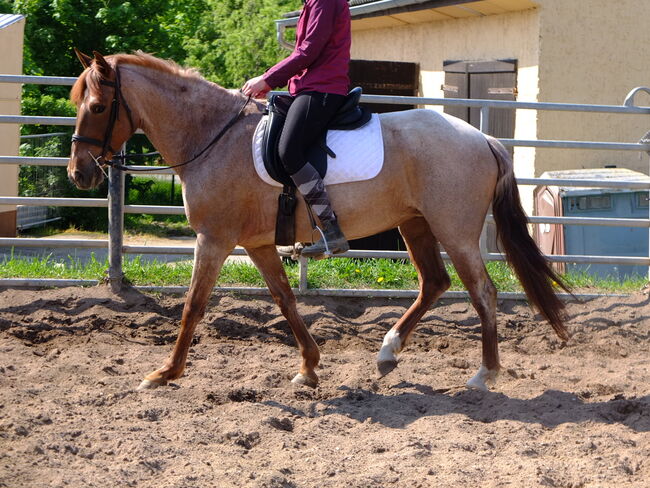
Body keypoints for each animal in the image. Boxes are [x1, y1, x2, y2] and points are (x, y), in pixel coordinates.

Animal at [68, 49, 568, 392]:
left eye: (97, 107)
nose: (79, 173)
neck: (211, 136)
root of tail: (482, 138)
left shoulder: (213, 239)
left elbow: (193, 305)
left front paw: (165, 373)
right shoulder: (257, 244)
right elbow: (285, 299)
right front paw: (308, 367)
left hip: (456, 231)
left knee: (482, 291)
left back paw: (484, 374)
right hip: (415, 224)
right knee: (434, 283)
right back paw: (387, 354)